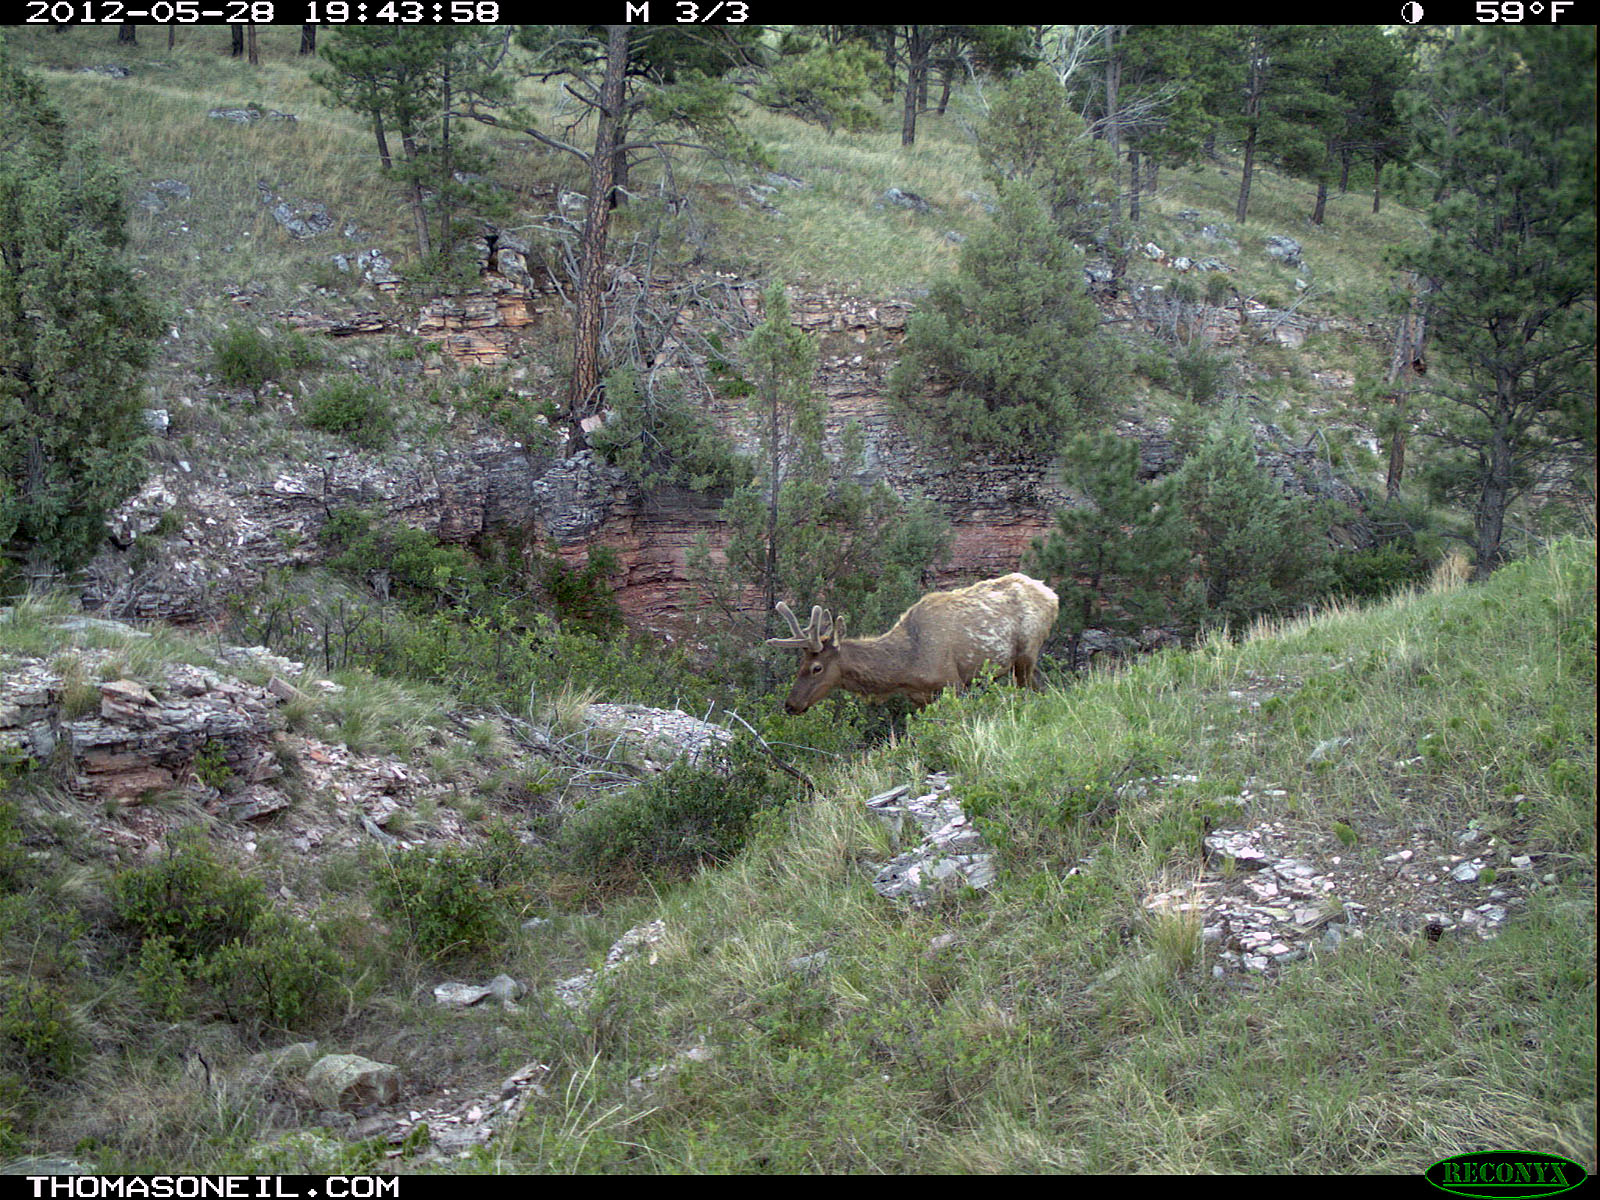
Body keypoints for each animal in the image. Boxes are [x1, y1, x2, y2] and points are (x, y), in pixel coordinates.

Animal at [767, 573, 1059, 714]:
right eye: (800, 664)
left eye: (816, 667)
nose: (790, 705)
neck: (907, 667)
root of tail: (1052, 595)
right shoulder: (919, 697)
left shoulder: (953, 682)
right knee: (1043, 687)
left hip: (1027, 651)